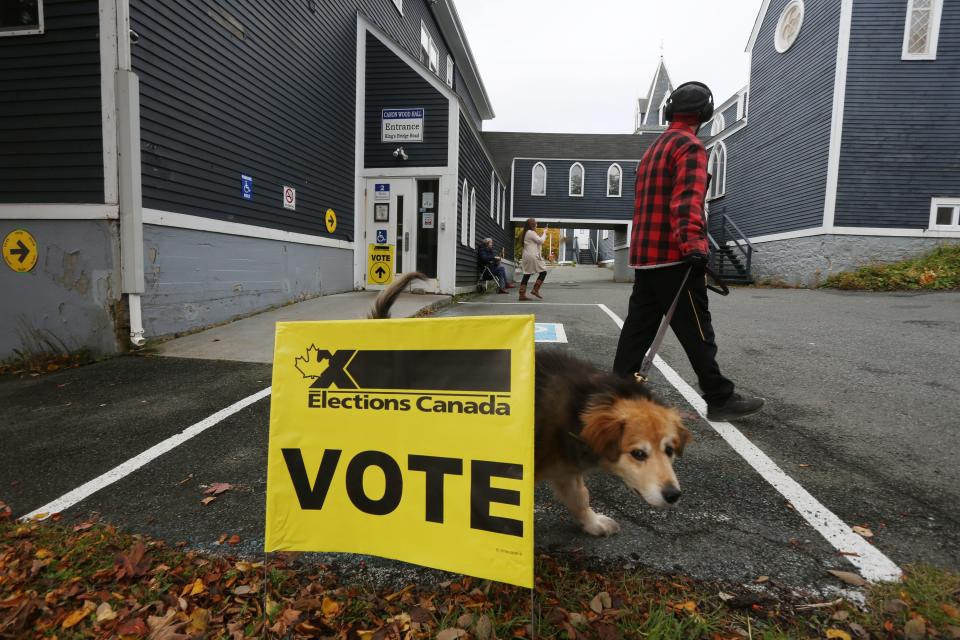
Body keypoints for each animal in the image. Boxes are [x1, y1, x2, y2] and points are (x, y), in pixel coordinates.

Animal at [368, 270, 688, 536]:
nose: (674, 495)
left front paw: (593, 524)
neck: (580, 404)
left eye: (669, 450)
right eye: (638, 454)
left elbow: (579, 498)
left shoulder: (564, 470)